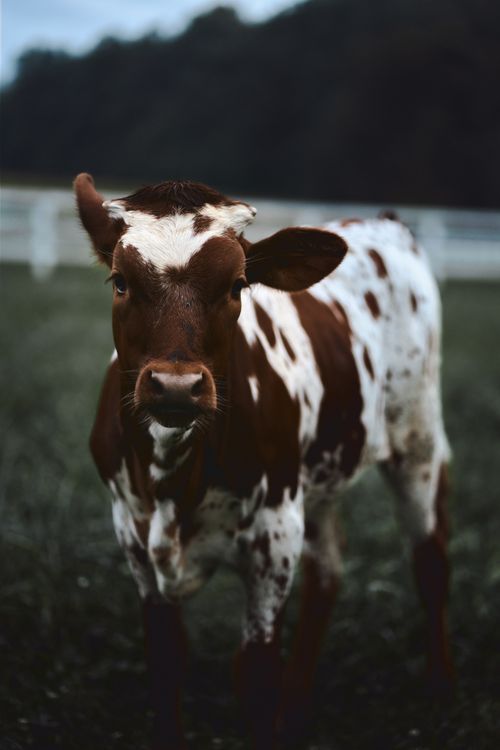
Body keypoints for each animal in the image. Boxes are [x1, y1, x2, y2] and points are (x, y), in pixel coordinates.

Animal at [75, 173, 453, 750]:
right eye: (120, 281)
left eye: (237, 286)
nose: (176, 388)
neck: (173, 478)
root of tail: (382, 221)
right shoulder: (132, 533)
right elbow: (166, 660)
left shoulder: (274, 532)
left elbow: (255, 673)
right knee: (328, 572)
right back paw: (296, 712)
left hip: (418, 440)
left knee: (430, 561)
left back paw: (437, 690)